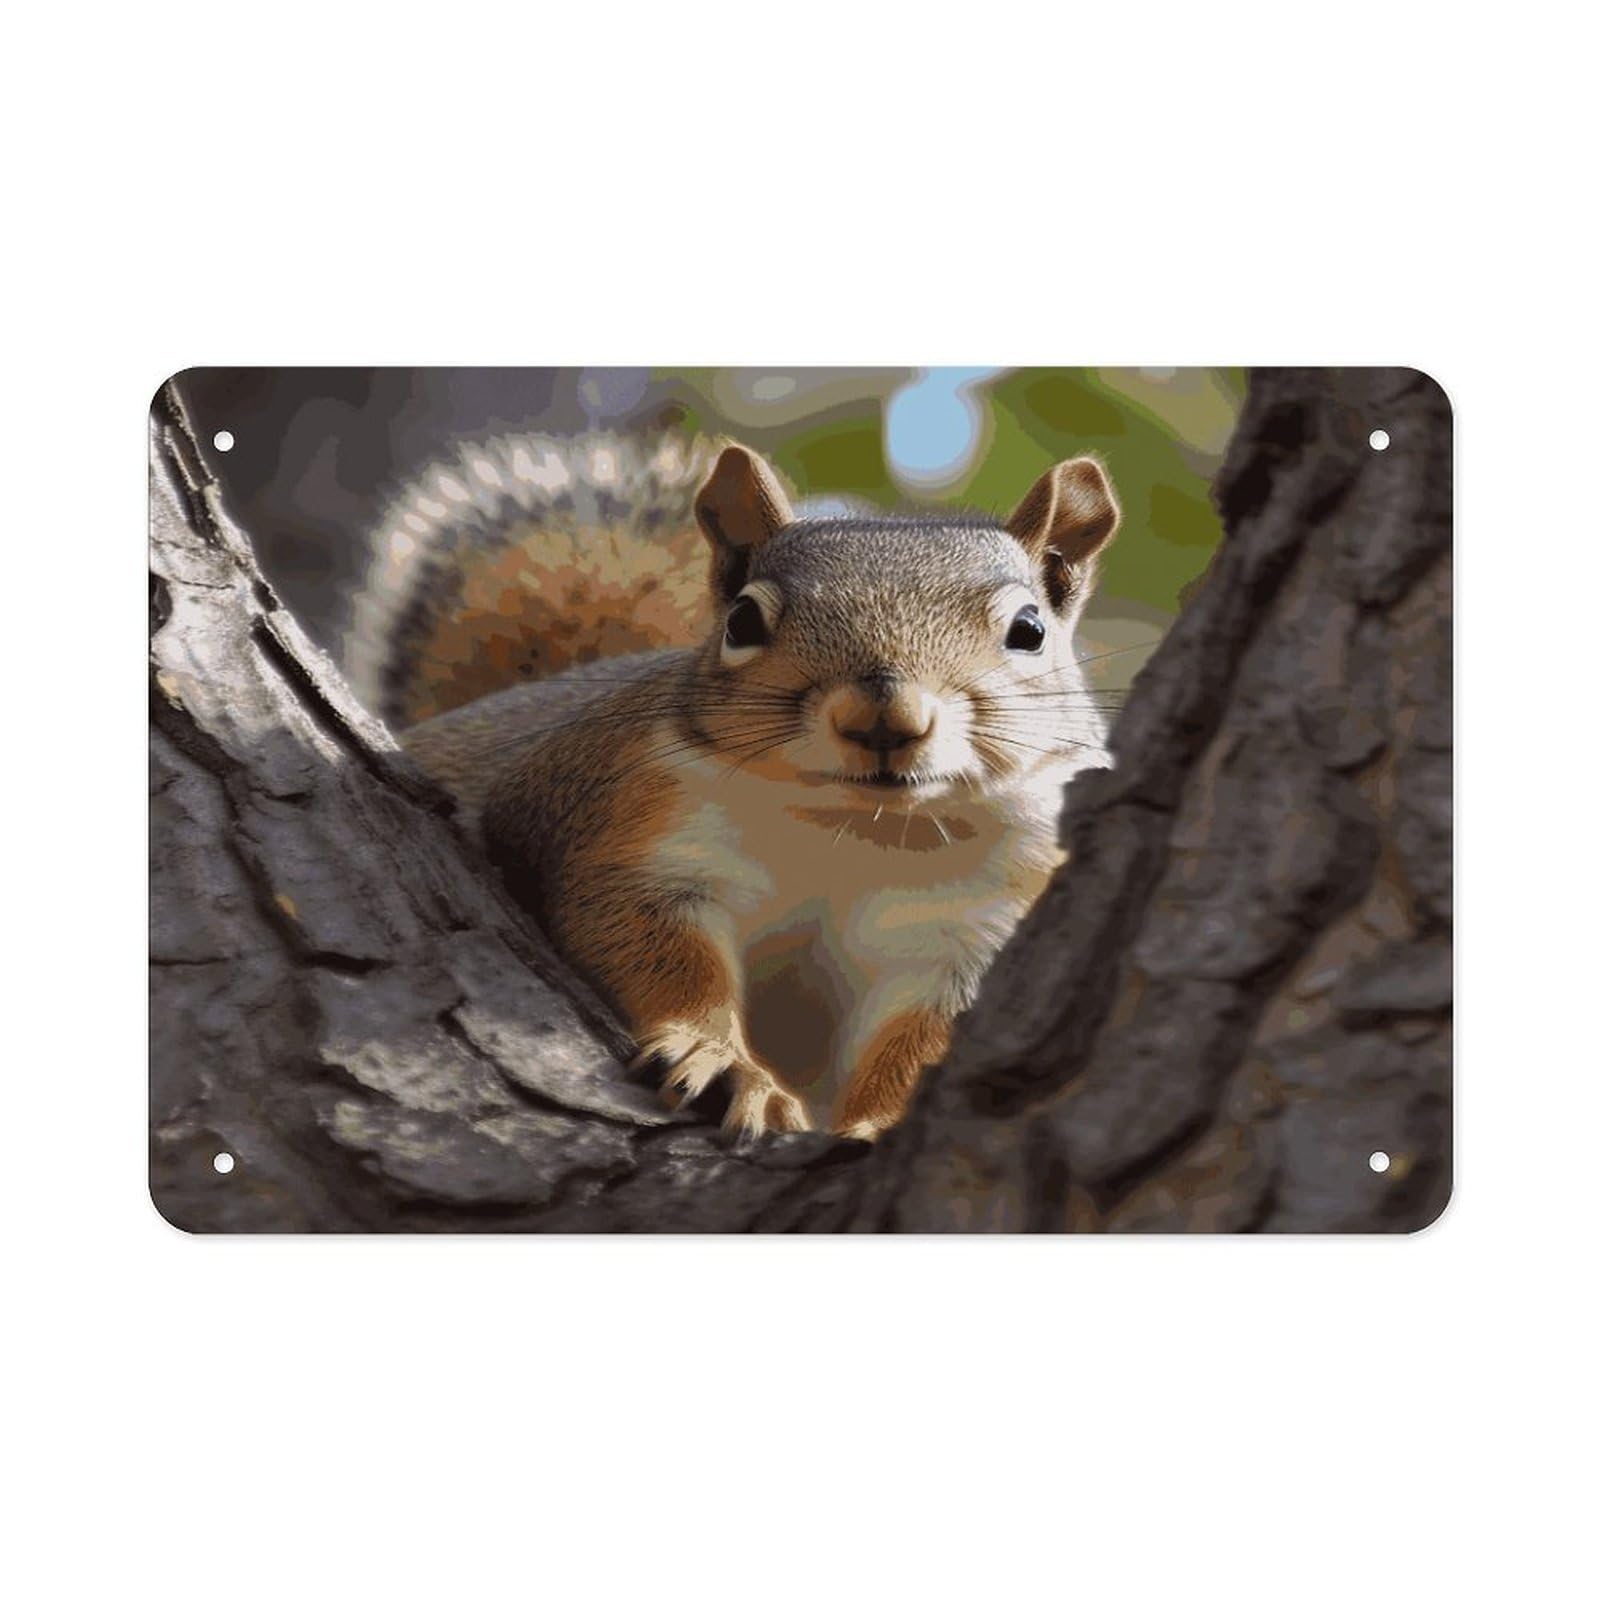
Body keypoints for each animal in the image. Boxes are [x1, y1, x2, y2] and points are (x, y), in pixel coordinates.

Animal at [348, 430, 1121, 1139]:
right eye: (743, 619)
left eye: (1029, 630)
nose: (884, 717)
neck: (856, 829)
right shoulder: (637, 830)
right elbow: (654, 946)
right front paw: (721, 1062)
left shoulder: (979, 923)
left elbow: (926, 1039)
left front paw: (879, 1125)